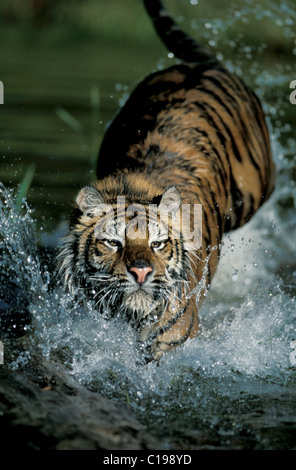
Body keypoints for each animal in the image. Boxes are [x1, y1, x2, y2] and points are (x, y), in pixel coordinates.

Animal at [57, 0, 276, 362]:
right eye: (113, 242)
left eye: (158, 244)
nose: (141, 273)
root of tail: (201, 67)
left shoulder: (173, 330)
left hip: (254, 192)